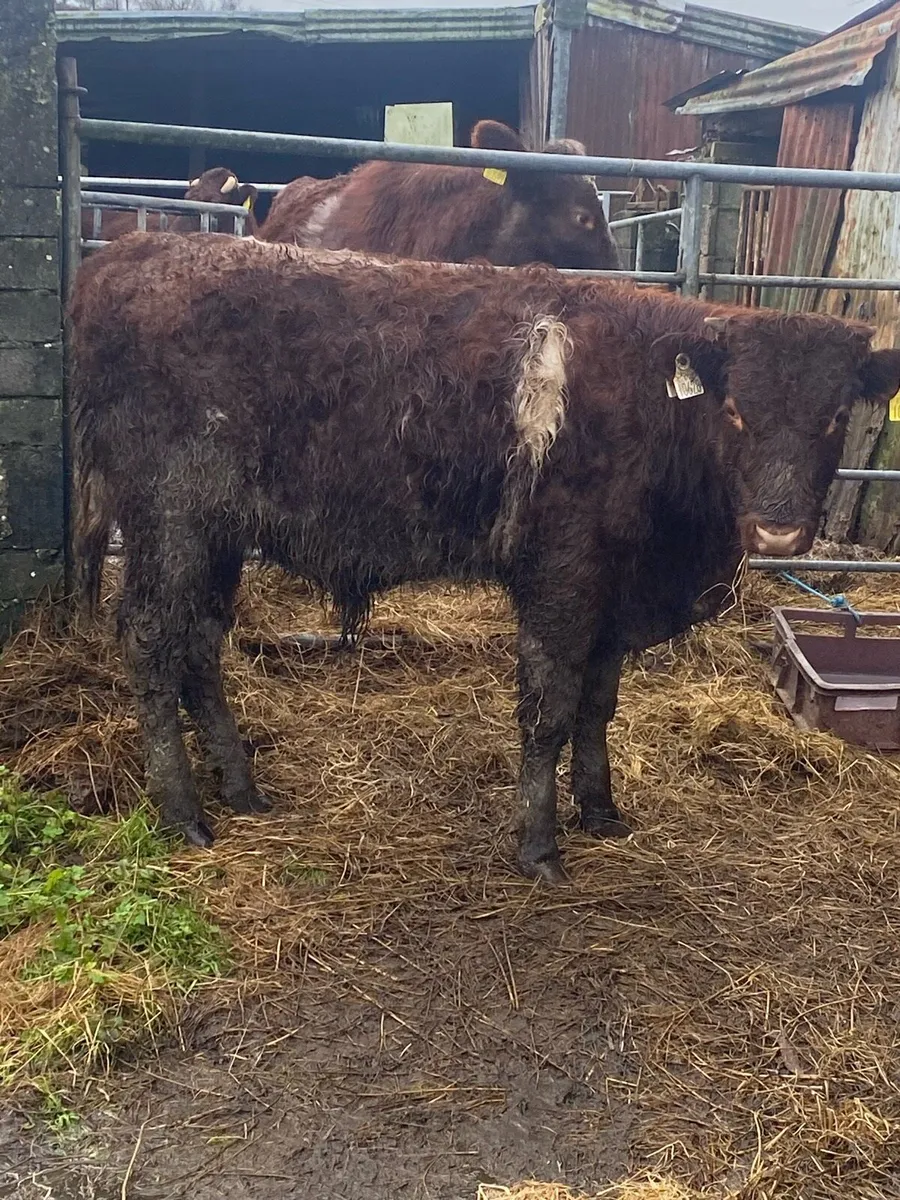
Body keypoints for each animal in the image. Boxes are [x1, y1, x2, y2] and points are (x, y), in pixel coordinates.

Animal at [70, 232, 900, 883]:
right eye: (735, 411)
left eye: (835, 417)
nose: (780, 534)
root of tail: (128, 256)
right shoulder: (561, 574)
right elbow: (548, 708)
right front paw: (539, 845)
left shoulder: (614, 594)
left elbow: (598, 703)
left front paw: (601, 809)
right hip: (169, 520)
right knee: (151, 641)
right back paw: (181, 812)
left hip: (214, 534)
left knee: (199, 644)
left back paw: (240, 789)